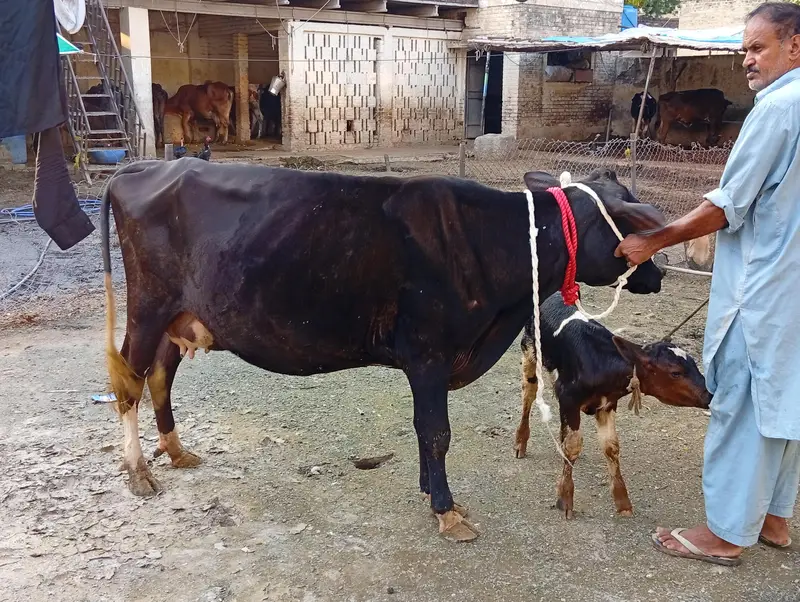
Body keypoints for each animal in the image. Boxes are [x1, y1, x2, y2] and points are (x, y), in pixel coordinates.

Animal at [99, 163, 666, 542]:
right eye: (632, 225)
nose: (658, 274)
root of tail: (143, 167)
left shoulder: (425, 362)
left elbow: (421, 429)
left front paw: (428, 491)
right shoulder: (429, 353)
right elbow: (437, 432)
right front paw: (446, 510)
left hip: (178, 317)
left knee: (160, 375)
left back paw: (175, 451)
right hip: (148, 307)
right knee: (129, 383)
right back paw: (139, 472)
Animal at [513, 293, 711, 519]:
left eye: (695, 364)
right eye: (675, 372)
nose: (709, 394)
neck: (600, 364)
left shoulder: (607, 404)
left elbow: (611, 447)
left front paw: (622, 501)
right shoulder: (569, 398)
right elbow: (573, 445)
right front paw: (565, 499)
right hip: (529, 353)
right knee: (528, 396)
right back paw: (520, 443)